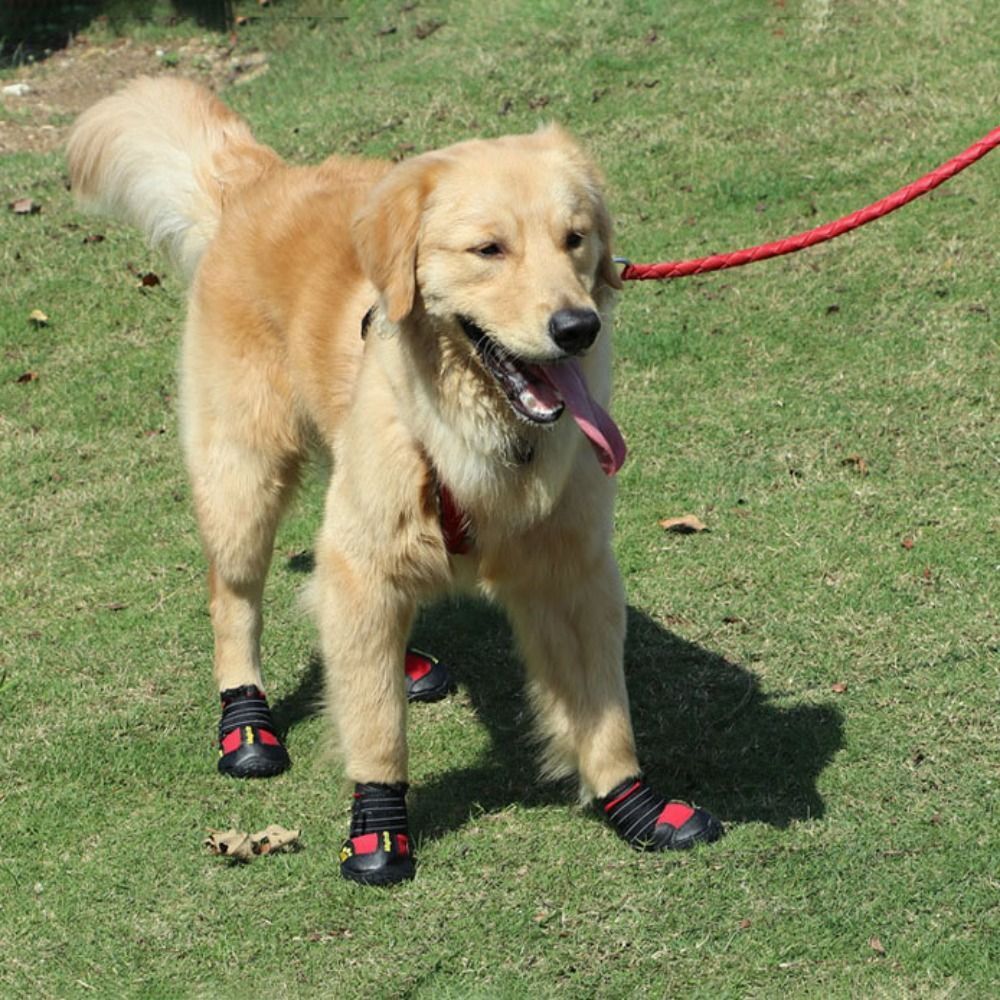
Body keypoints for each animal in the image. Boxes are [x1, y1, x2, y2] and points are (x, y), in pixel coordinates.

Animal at [70, 78, 724, 884]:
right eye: (489, 249)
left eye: (575, 238)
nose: (578, 328)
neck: (482, 439)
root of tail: (257, 179)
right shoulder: (364, 558)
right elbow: (377, 727)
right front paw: (378, 827)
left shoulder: (573, 567)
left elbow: (604, 709)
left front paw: (633, 802)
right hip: (243, 479)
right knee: (235, 599)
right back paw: (245, 721)